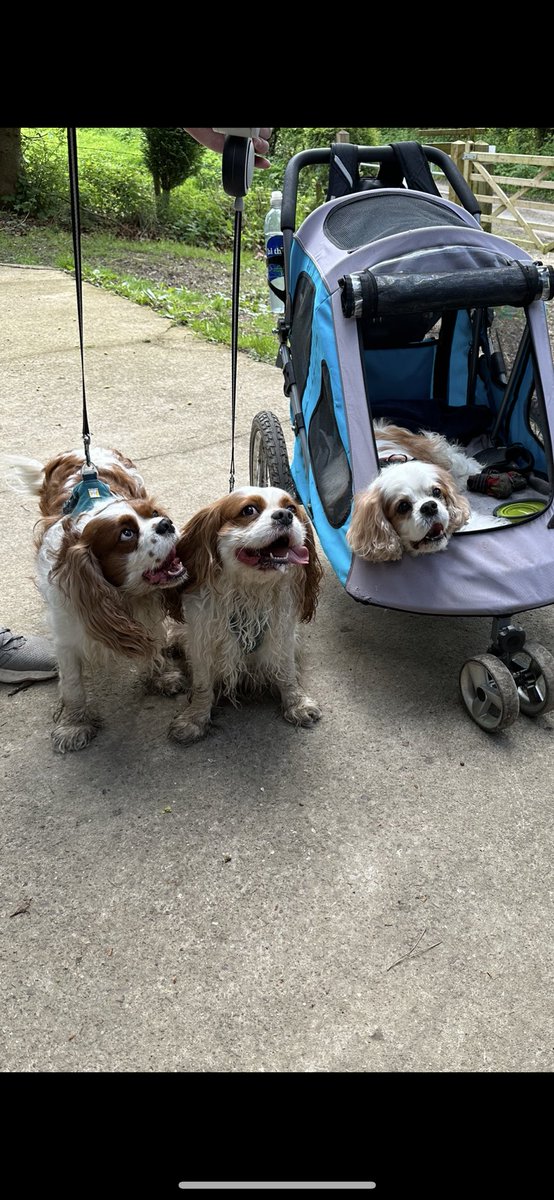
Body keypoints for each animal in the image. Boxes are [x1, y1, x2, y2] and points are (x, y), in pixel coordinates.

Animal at [5, 448, 188, 748]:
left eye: (154, 514)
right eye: (126, 533)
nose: (166, 523)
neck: (123, 597)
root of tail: (75, 453)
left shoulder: (146, 614)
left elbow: (152, 645)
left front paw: (160, 677)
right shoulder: (66, 636)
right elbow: (72, 686)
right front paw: (74, 724)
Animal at [166, 484, 321, 744]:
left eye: (291, 508)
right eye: (249, 510)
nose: (284, 516)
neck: (249, 591)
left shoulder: (282, 638)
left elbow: (287, 673)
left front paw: (296, 703)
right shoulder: (202, 644)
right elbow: (202, 686)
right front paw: (195, 718)